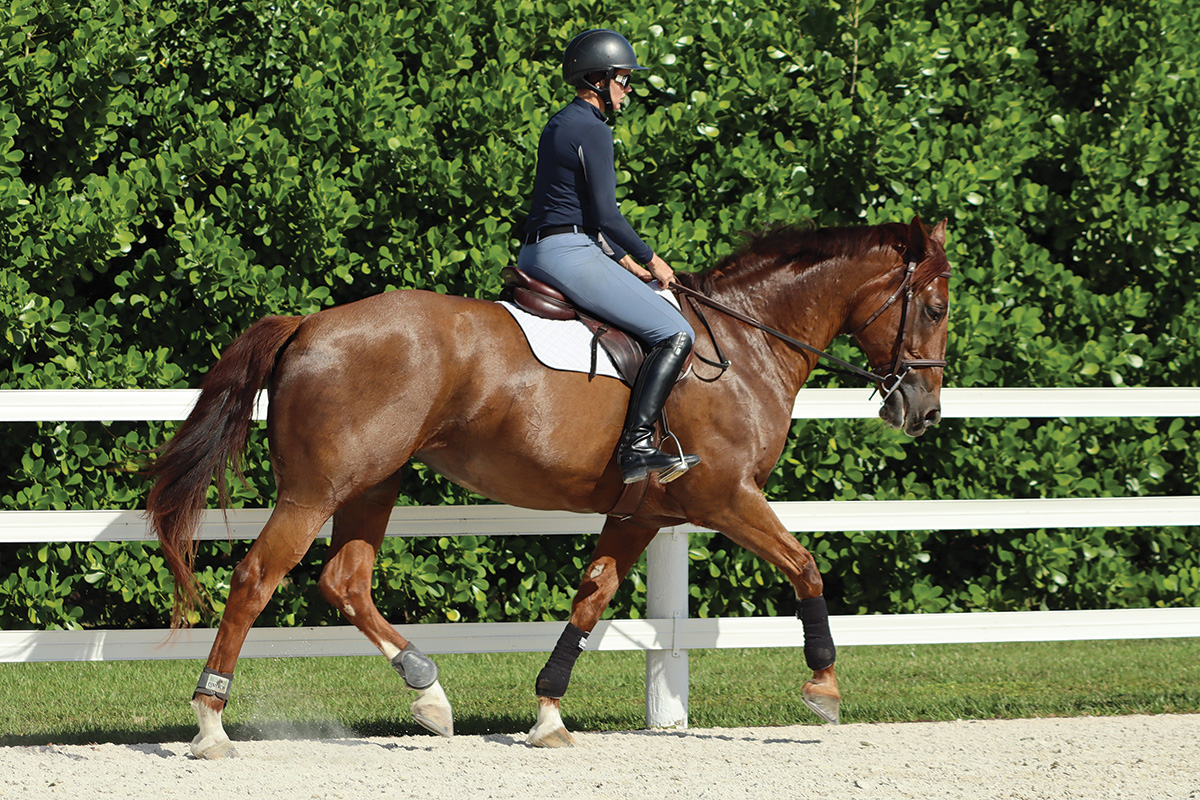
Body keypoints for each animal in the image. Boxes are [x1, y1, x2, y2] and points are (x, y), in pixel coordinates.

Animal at [145, 212, 950, 758]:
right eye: (938, 307)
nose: (923, 412)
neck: (746, 341)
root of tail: (309, 323)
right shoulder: (726, 497)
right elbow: (805, 565)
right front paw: (825, 689)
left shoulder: (642, 513)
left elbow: (591, 596)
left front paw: (548, 715)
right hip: (316, 490)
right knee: (256, 577)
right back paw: (211, 723)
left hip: (375, 482)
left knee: (345, 581)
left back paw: (430, 695)